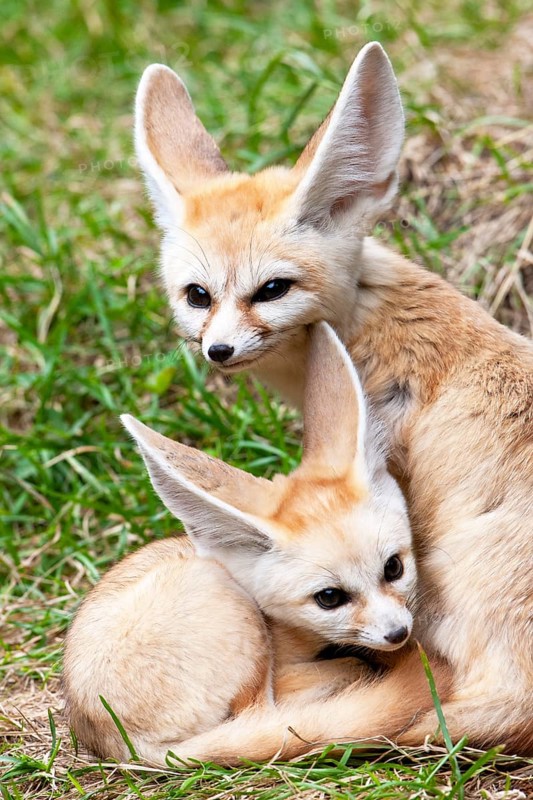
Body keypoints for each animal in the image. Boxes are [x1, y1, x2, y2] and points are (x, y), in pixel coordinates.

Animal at [63, 323, 447, 767]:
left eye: (393, 568)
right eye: (329, 598)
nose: (398, 634)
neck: (291, 630)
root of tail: (127, 746)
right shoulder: (285, 664)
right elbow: (336, 670)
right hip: (226, 602)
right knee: (269, 715)